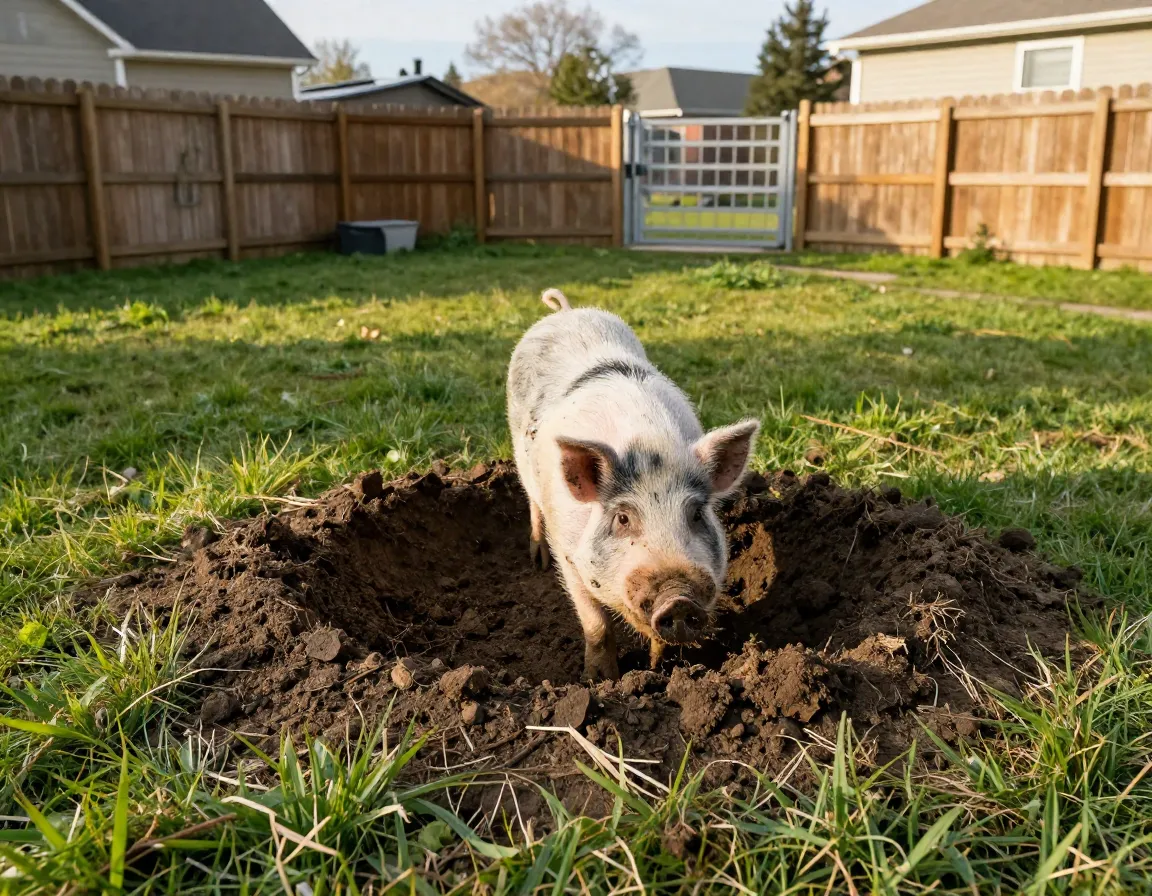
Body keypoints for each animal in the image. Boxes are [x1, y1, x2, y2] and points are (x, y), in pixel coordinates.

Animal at [506, 288, 759, 680]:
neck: (647, 443)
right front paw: (600, 679)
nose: (678, 598)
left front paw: (658, 669)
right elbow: (595, 624)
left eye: (696, 514)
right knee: (532, 502)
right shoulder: (570, 556)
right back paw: (538, 560)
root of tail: (565, 311)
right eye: (623, 518)